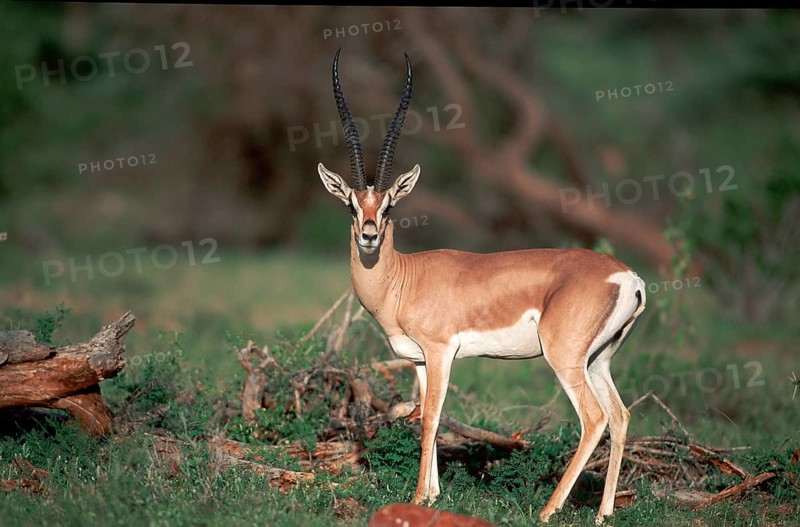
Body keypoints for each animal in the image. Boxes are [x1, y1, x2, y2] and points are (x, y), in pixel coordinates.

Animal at [317, 50, 647, 524]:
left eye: (390, 205)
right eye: (350, 204)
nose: (368, 235)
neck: (403, 278)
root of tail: (629, 277)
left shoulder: (440, 352)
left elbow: (431, 418)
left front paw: (417, 497)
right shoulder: (419, 361)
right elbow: (428, 416)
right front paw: (432, 495)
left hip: (565, 359)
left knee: (593, 418)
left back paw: (547, 509)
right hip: (599, 359)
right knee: (619, 416)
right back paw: (603, 513)